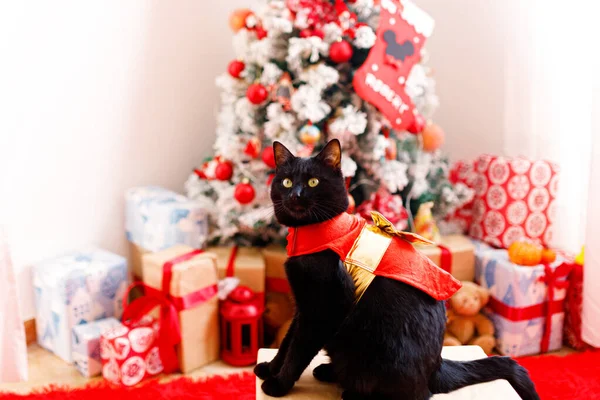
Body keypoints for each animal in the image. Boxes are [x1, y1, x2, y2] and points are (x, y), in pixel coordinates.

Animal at [253, 138, 540, 400]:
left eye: (313, 182)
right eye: (286, 182)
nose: (296, 194)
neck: (313, 234)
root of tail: (436, 369)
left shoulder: (325, 308)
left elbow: (298, 350)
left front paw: (278, 385)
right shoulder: (304, 305)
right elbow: (287, 341)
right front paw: (270, 368)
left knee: (412, 393)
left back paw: (353, 393)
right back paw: (327, 371)